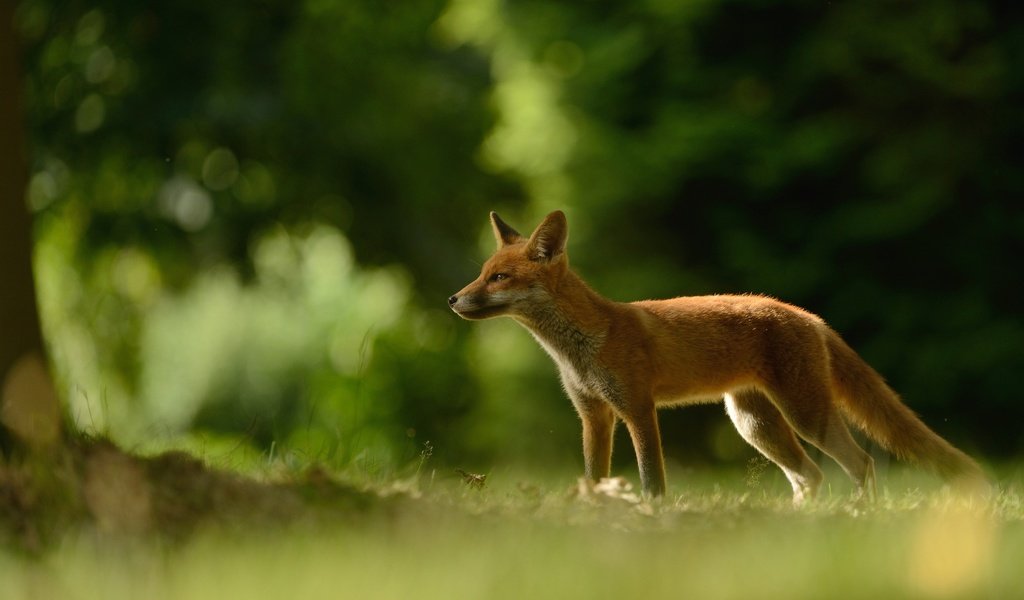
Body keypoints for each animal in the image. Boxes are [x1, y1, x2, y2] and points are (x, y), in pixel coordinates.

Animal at [446, 209, 983, 499]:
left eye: (499, 278)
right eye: (481, 273)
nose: (452, 299)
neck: (579, 347)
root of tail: (807, 314)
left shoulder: (638, 409)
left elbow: (652, 480)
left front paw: (651, 518)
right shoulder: (594, 416)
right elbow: (593, 478)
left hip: (804, 415)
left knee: (861, 464)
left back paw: (857, 517)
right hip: (755, 425)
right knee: (808, 476)